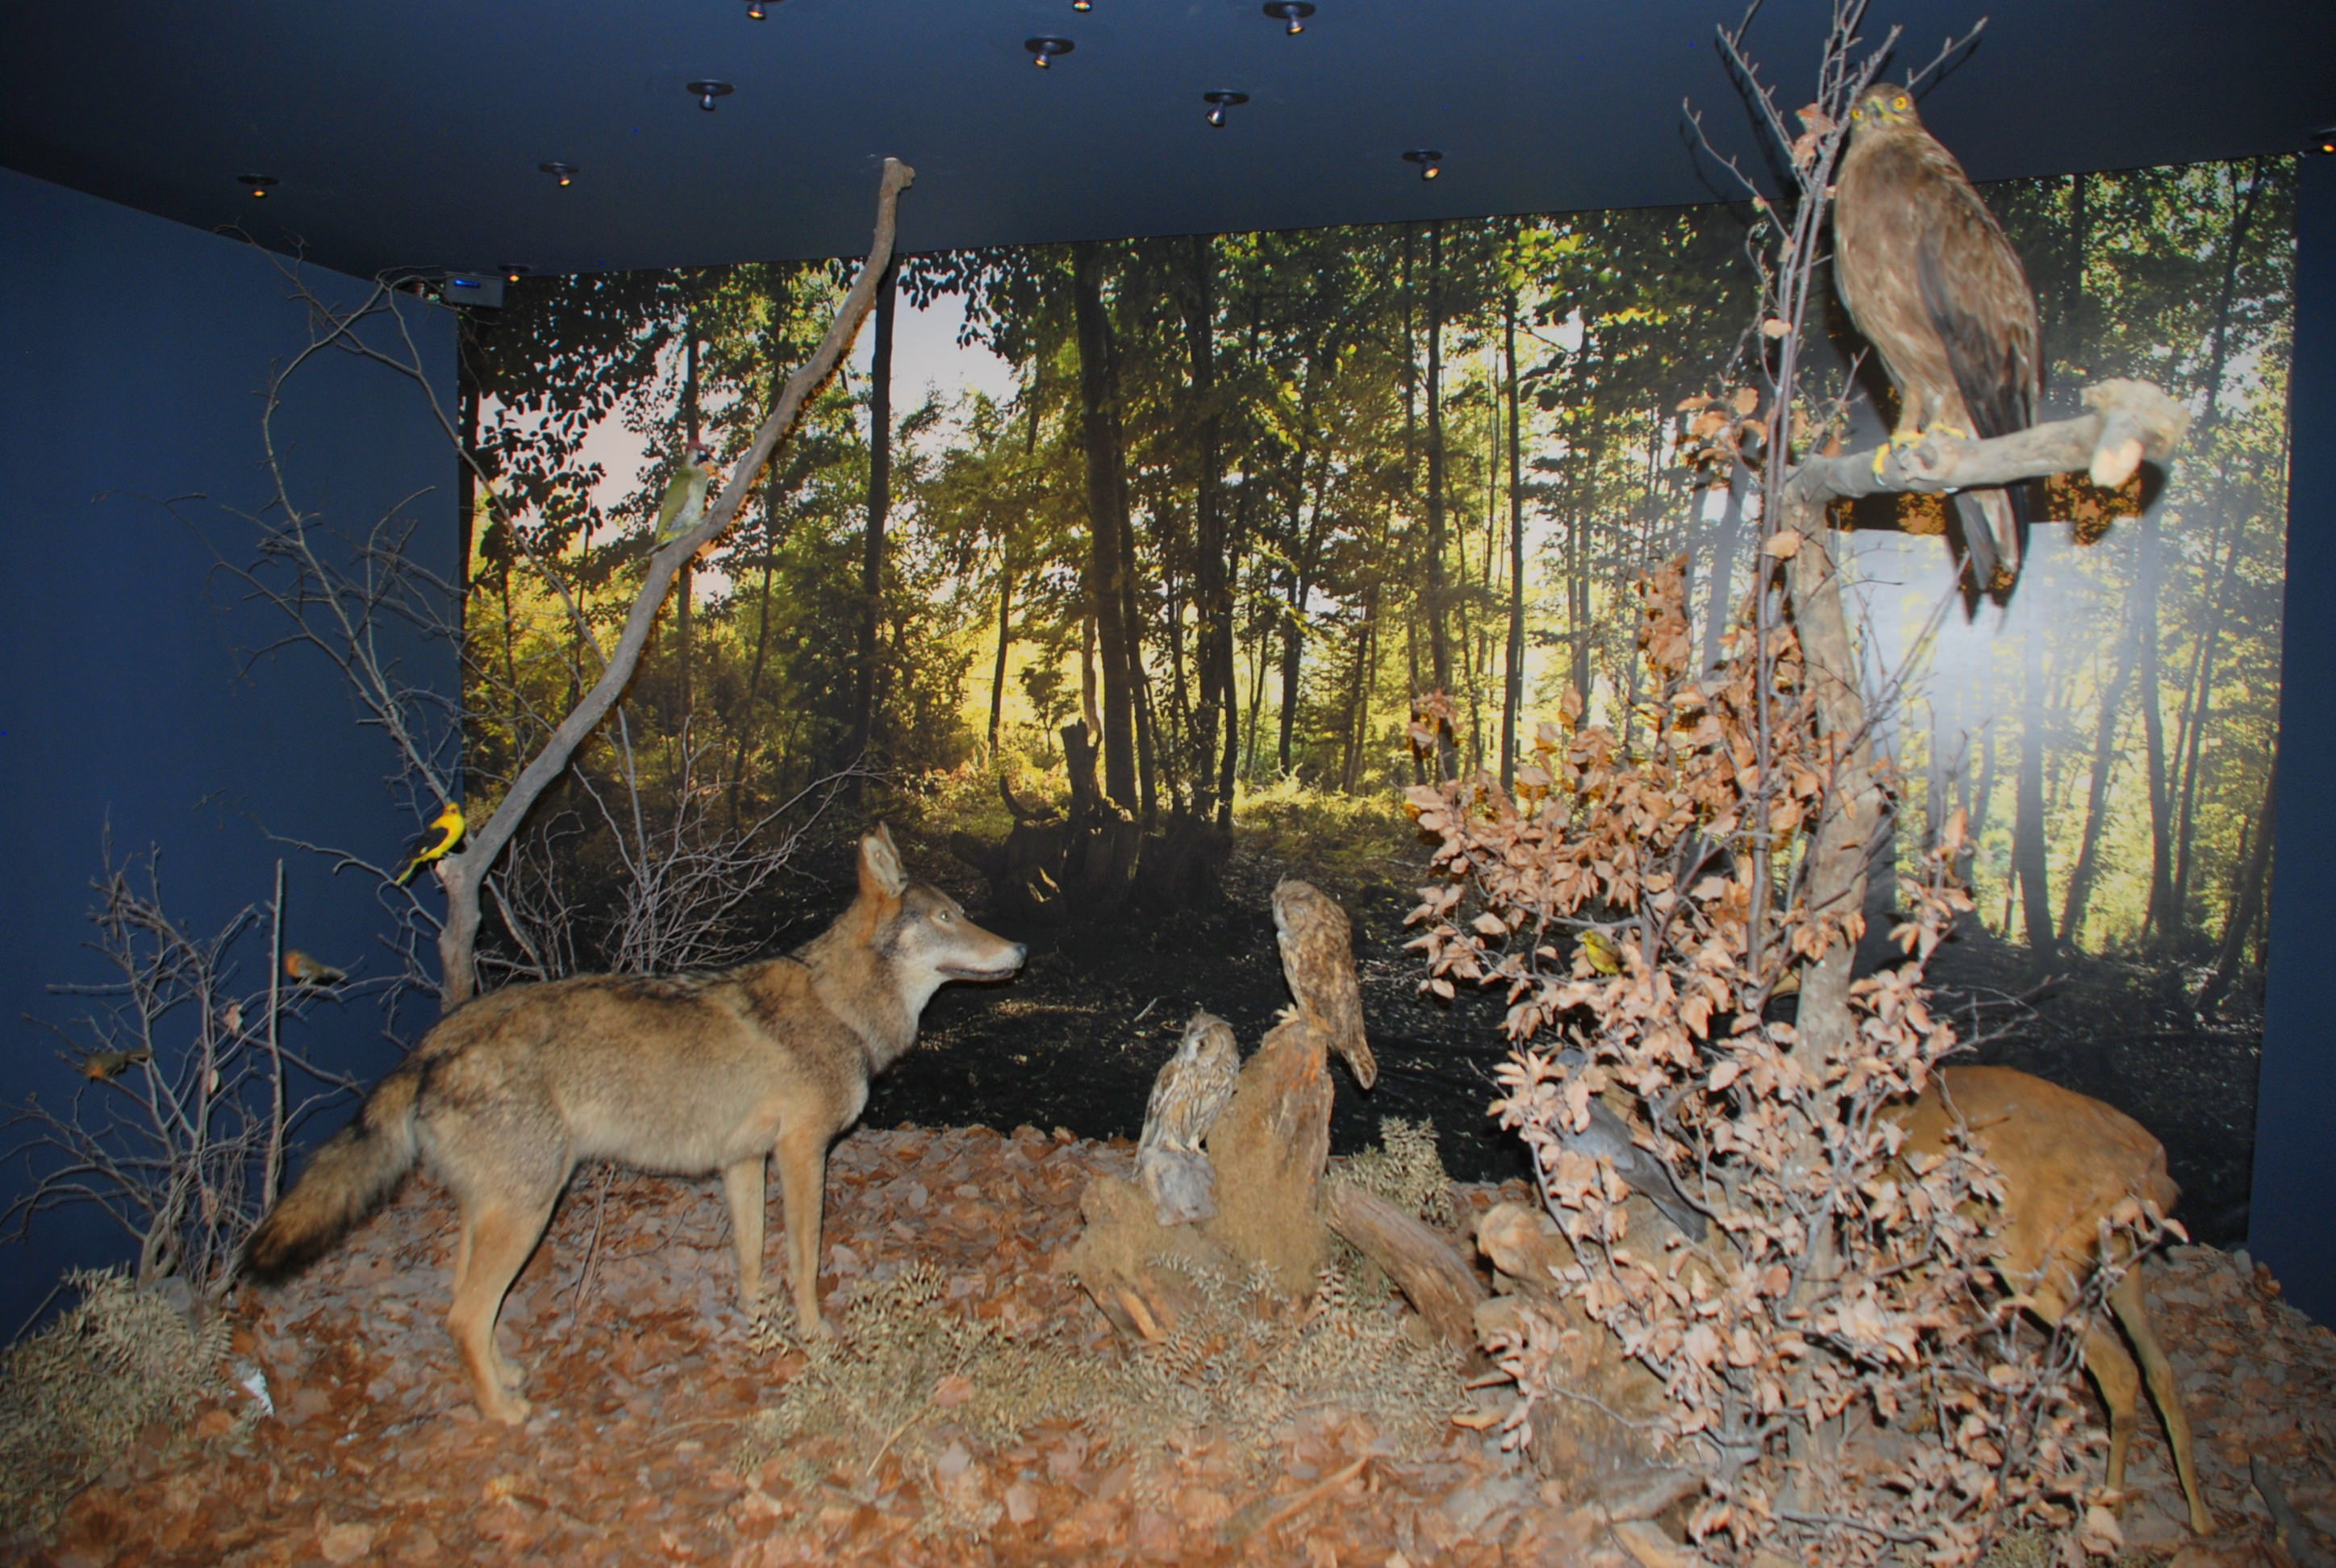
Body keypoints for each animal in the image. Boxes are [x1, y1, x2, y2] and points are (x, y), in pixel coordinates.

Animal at [239, 827, 1032, 1430]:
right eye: (948, 919)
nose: (1022, 951)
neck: (839, 1006)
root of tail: (431, 1044)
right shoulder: (803, 1154)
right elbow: (803, 1260)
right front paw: (814, 1337)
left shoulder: (743, 1163)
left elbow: (751, 1259)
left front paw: (756, 1328)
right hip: (529, 1210)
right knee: (464, 1316)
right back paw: (504, 1414)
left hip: (496, 1212)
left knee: (459, 1311)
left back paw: (507, 1376)